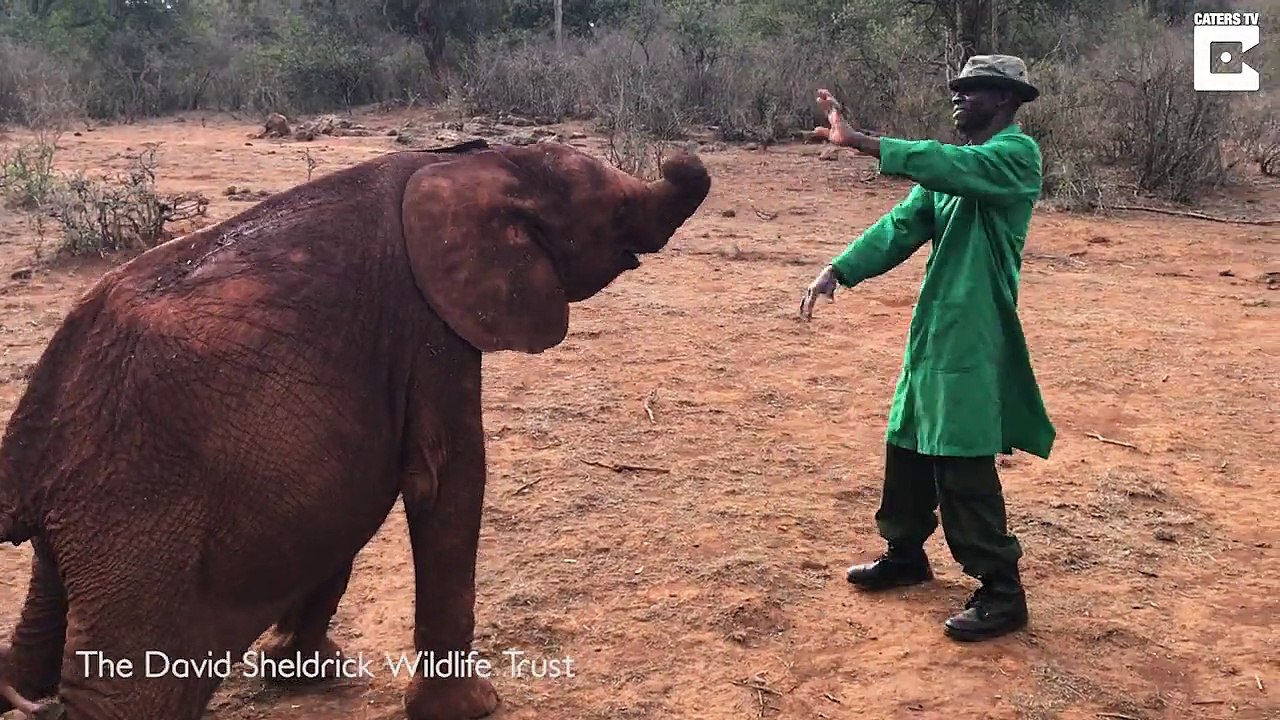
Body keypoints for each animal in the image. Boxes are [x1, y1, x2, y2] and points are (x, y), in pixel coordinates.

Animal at [0, 137, 711, 719]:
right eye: (615, 214)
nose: (681, 159)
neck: (474, 162)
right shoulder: (429, 325)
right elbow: (446, 484)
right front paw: (474, 708)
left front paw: (307, 673)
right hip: (141, 518)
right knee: (127, 689)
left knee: (41, 620)